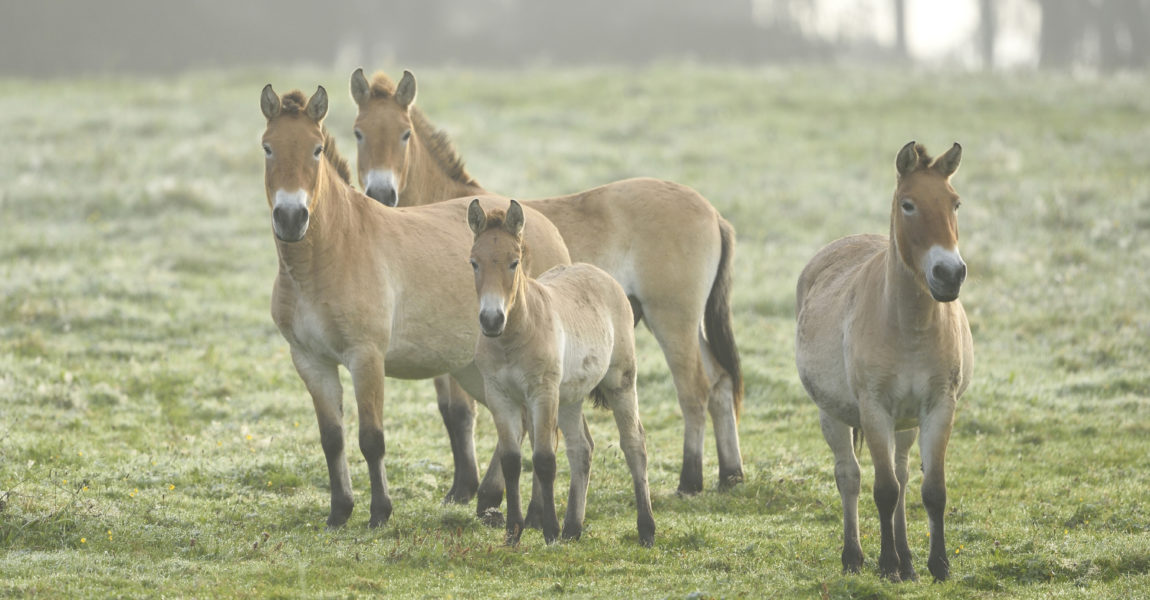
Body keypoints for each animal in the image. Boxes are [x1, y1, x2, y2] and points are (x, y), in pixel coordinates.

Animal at [257, 82, 570, 524]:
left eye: (316, 149)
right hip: (474, 368)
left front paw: (379, 512)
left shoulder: (366, 357)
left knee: (542, 429)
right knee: (518, 422)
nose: (290, 217)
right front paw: (339, 511)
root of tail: (544, 226)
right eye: (268, 147)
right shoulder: (310, 361)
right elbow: (332, 438)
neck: (327, 253)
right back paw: (489, 500)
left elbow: (371, 438)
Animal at [349, 67, 745, 508]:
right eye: (359, 132)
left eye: (404, 134)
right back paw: (730, 474)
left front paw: (471, 490)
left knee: (694, 388)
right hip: (690, 323)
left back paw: (690, 480)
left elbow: (464, 413)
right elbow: (455, 413)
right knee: (721, 381)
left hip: (672, 319)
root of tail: (712, 213)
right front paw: (466, 490)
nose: (381, 193)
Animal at [462, 198, 653, 544]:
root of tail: (599, 274)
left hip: (620, 381)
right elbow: (512, 461)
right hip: (570, 397)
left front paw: (548, 531)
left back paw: (646, 530)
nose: (492, 320)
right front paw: (513, 533)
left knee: (634, 444)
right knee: (581, 449)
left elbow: (544, 460)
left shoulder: (542, 392)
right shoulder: (499, 396)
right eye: (474, 262)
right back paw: (573, 529)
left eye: (514, 262)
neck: (512, 339)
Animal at [800, 140, 970, 579]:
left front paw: (937, 566)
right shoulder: (874, 409)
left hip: (906, 424)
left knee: (904, 472)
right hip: (833, 415)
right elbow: (884, 490)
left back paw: (908, 562)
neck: (909, 327)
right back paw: (854, 557)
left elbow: (931, 489)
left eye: (955, 203)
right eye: (908, 204)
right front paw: (887, 565)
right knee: (850, 477)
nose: (949, 274)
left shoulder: (939, 406)